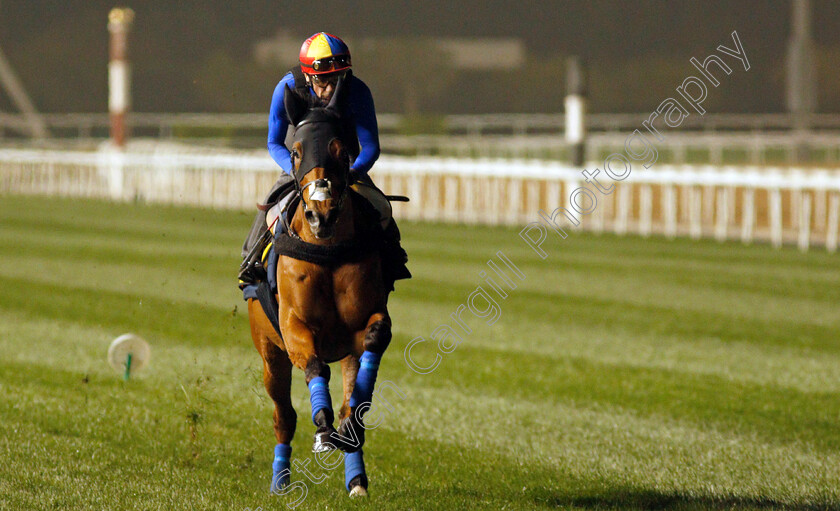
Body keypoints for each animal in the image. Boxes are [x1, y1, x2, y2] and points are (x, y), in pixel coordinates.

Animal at [248, 80, 396, 500]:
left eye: (341, 149)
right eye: (296, 151)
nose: (322, 215)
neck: (327, 250)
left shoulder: (365, 321)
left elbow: (373, 344)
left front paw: (345, 429)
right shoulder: (293, 325)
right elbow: (315, 367)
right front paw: (323, 426)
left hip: (345, 350)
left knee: (351, 396)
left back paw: (356, 477)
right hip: (269, 353)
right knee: (283, 416)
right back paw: (280, 479)